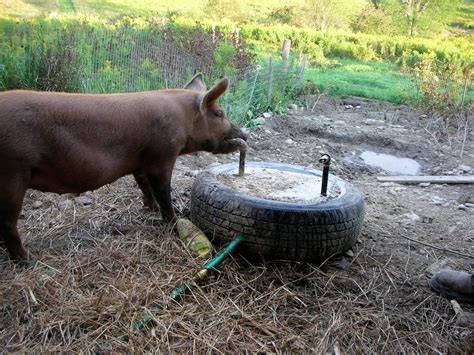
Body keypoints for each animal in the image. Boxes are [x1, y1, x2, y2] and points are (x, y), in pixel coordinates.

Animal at [0, 73, 246, 262]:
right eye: (220, 114)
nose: (244, 135)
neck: (183, 119)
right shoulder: (162, 155)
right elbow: (163, 191)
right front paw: (173, 222)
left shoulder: (140, 161)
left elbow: (144, 185)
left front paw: (150, 208)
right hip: (13, 172)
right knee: (8, 221)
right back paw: (26, 259)